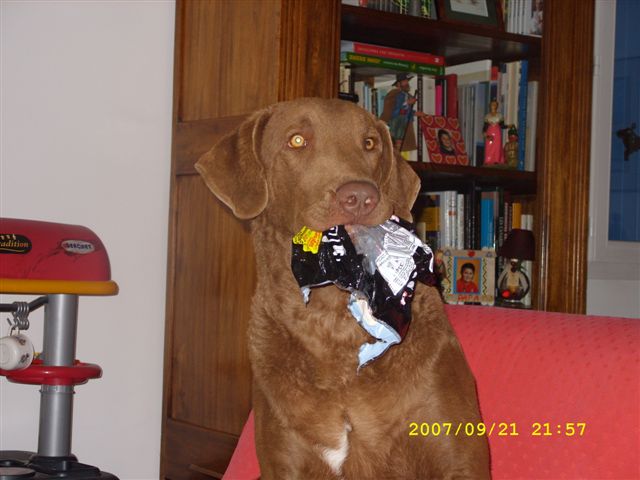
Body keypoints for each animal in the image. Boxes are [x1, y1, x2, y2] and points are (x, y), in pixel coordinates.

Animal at [195, 98, 490, 479]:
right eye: (296, 141)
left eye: (370, 143)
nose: (361, 196)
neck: (334, 324)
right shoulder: (284, 463)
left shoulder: (458, 458)